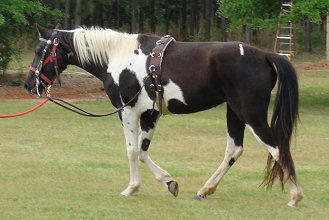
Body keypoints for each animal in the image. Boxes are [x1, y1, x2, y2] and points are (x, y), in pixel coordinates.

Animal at [25, 24, 302, 208]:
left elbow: (132, 151)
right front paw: (169, 182)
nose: (29, 84)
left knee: (277, 147)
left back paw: (295, 196)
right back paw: (204, 190)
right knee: (234, 150)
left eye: (41, 51)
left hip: (250, 114)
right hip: (234, 113)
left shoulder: (127, 111)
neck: (118, 56)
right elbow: (143, 151)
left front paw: (131, 188)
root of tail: (265, 55)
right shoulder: (150, 114)